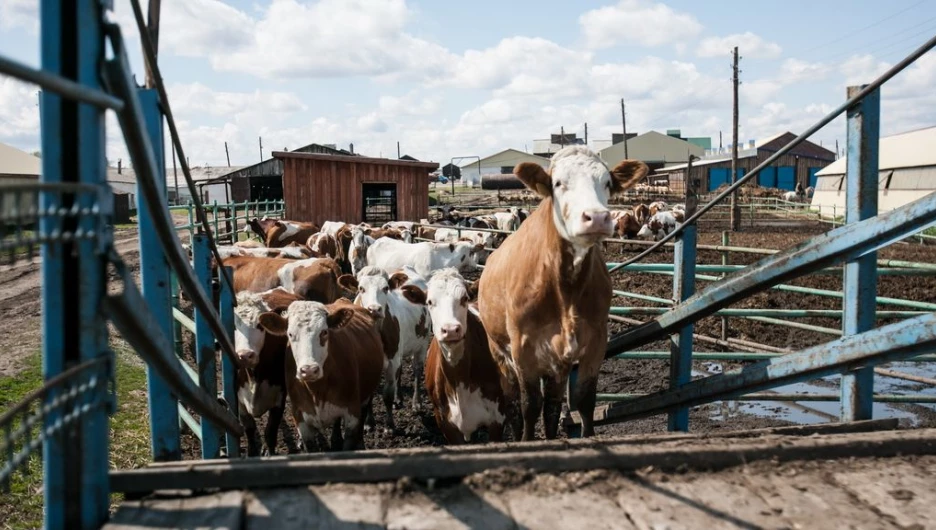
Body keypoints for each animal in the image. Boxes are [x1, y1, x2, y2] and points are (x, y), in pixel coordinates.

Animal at [233, 286, 302, 456]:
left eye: (260, 325)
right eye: (233, 325)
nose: (245, 355)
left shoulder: (279, 397)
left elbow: (270, 432)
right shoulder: (239, 399)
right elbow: (249, 428)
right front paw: (251, 453)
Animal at [256, 296, 384, 450]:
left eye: (324, 332)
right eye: (290, 334)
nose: (309, 370)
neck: (317, 390)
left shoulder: (352, 414)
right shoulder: (301, 418)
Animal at [478, 144, 648, 438]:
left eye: (607, 182)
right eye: (558, 183)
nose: (597, 217)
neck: (565, 288)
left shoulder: (595, 341)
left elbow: (584, 400)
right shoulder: (523, 349)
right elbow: (529, 405)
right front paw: (526, 440)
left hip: (556, 363)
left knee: (553, 405)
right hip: (499, 350)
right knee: (513, 400)